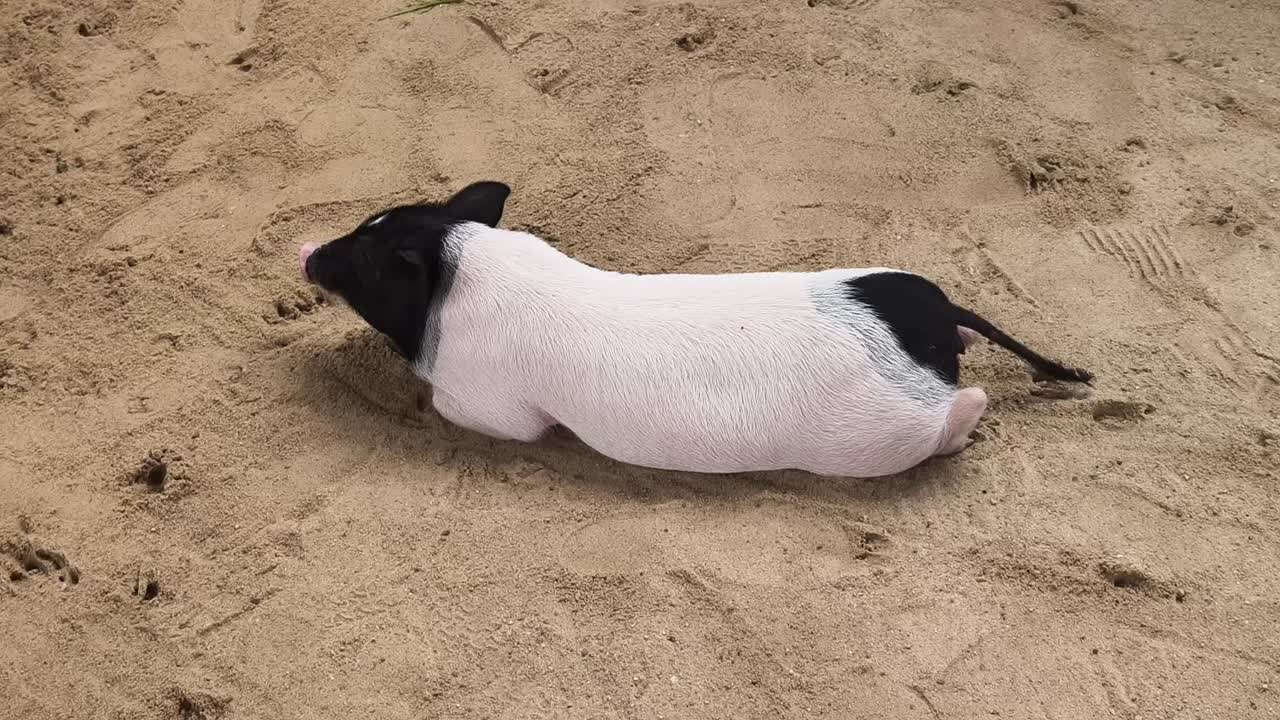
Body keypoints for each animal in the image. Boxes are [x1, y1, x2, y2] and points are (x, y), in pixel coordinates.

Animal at [298, 181, 1092, 478]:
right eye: (366, 223)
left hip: (882, 438)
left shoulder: (493, 405)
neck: (463, 269)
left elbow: (460, 410)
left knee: (965, 409)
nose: (307, 250)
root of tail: (932, 322)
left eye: (365, 262)